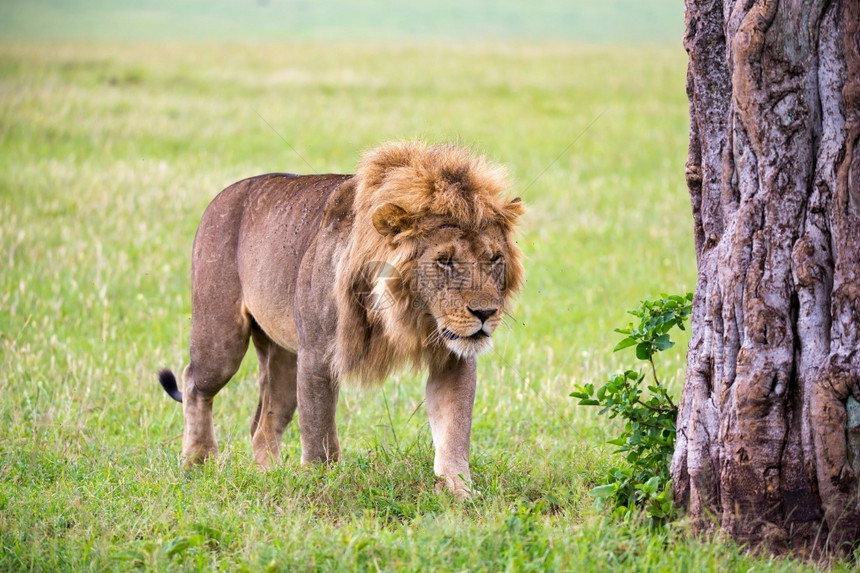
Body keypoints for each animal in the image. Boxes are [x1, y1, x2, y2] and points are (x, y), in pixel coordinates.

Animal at [158, 140, 528, 496]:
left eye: (494, 258)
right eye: (444, 260)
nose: (485, 313)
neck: (409, 312)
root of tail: (224, 194)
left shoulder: (453, 360)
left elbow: (453, 429)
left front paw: (459, 493)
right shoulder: (318, 355)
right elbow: (319, 433)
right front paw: (320, 486)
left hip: (284, 359)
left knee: (263, 424)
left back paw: (270, 476)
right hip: (222, 341)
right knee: (193, 382)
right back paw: (199, 461)